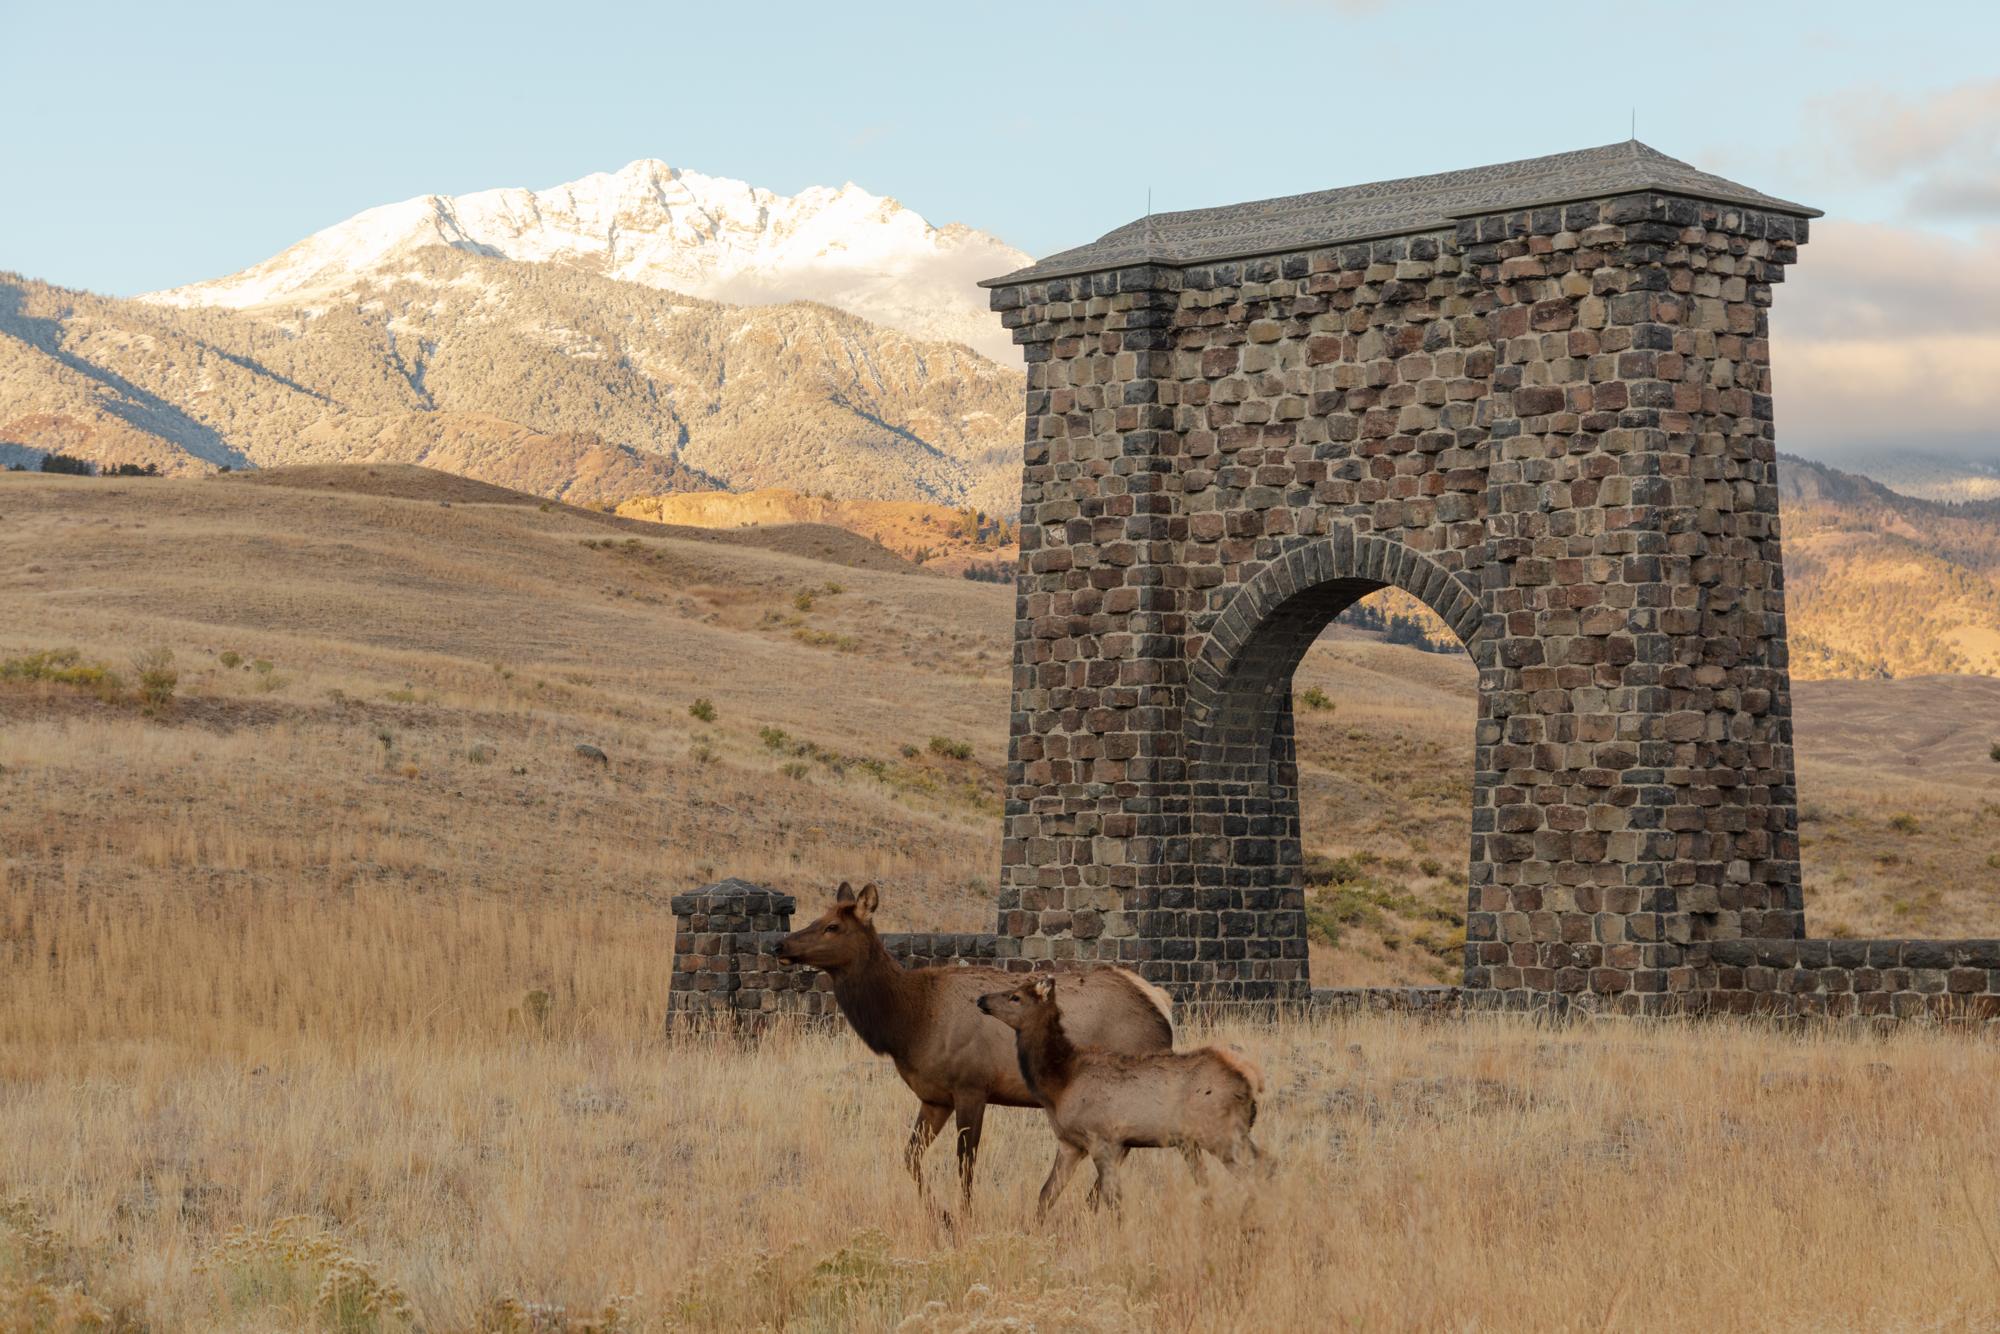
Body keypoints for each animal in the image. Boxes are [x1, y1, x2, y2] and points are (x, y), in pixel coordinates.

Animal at [768, 880, 1168, 1216]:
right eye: (816, 917)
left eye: (833, 926)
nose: (779, 945)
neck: (909, 1024)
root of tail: (1162, 1007)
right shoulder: (935, 1096)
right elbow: (910, 1157)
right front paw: (941, 1215)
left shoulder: (972, 1085)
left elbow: (965, 1162)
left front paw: (964, 1217)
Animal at [972, 972, 1264, 1224]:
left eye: (1015, 996)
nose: (981, 999)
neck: (1060, 1082)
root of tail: (1251, 1081)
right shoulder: (1070, 1143)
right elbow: (1047, 1193)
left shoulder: (1103, 1139)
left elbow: (1113, 1201)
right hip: (1213, 1137)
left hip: (1220, 1133)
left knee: (1260, 1170)